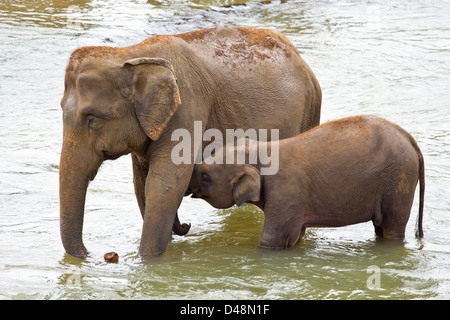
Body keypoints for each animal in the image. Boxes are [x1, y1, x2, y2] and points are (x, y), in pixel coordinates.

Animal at [59, 26, 322, 258]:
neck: (131, 54)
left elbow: (165, 185)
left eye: (91, 118)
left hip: (309, 112)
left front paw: (145, 261)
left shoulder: (186, 111)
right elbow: (142, 184)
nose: (99, 255)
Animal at [187, 115, 426, 250]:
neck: (260, 149)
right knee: (381, 228)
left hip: (399, 179)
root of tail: (410, 139)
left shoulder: (286, 191)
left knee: (392, 227)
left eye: (205, 176)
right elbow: (296, 235)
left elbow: (273, 240)